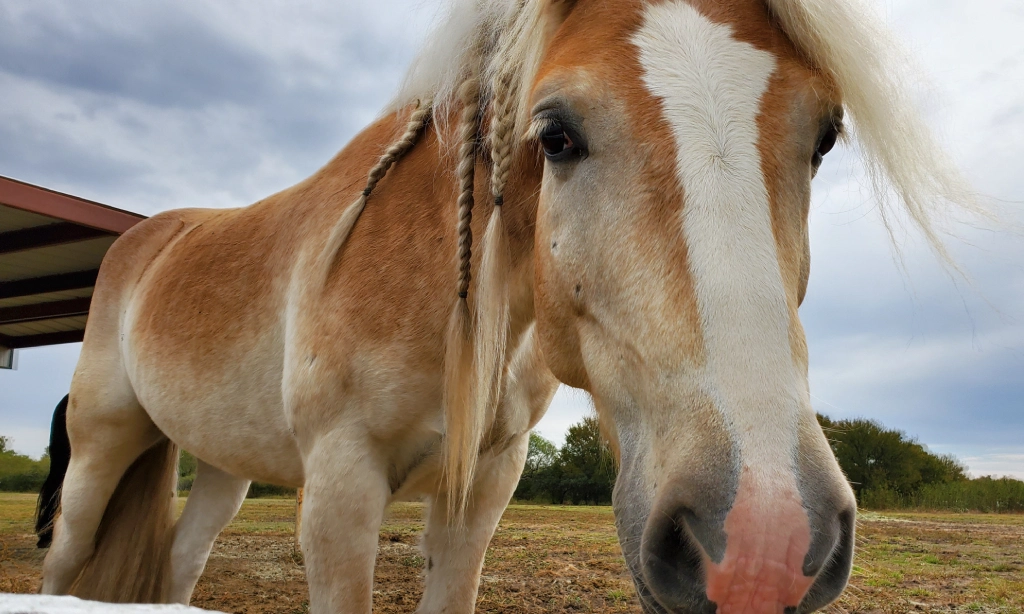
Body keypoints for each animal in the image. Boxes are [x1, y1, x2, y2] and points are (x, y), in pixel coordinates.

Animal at [34, 0, 974, 609]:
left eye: (824, 137)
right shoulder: (340, 487)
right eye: (554, 134)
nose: (762, 541)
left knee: (181, 564)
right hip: (100, 449)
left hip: (224, 469)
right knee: (65, 559)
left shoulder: (482, 488)